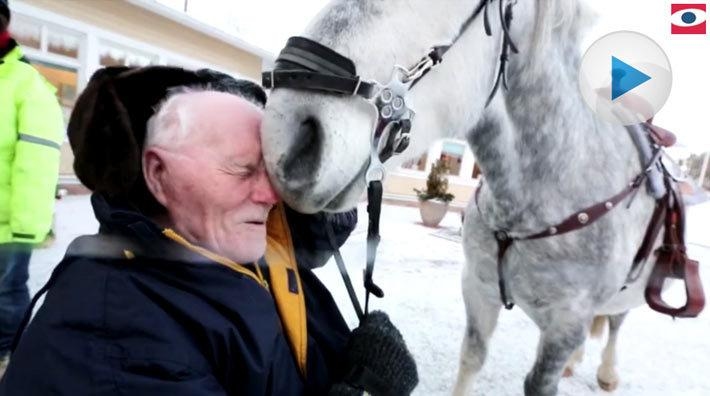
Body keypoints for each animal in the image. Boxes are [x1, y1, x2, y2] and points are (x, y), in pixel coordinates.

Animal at [264, 0, 664, 396]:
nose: (287, 136)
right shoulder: (479, 287)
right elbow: (472, 356)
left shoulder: (566, 322)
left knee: (616, 321)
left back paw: (607, 371)